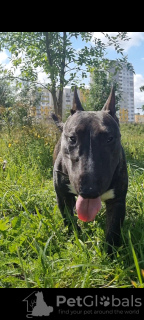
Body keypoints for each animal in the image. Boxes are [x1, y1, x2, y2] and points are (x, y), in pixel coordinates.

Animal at [51, 87, 128, 255]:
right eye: (72, 138)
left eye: (109, 139)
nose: (89, 190)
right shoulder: (62, 195)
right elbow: (69, 219)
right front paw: (75, 237)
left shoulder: (118, 201)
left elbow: (113, 230)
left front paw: (109, 255)